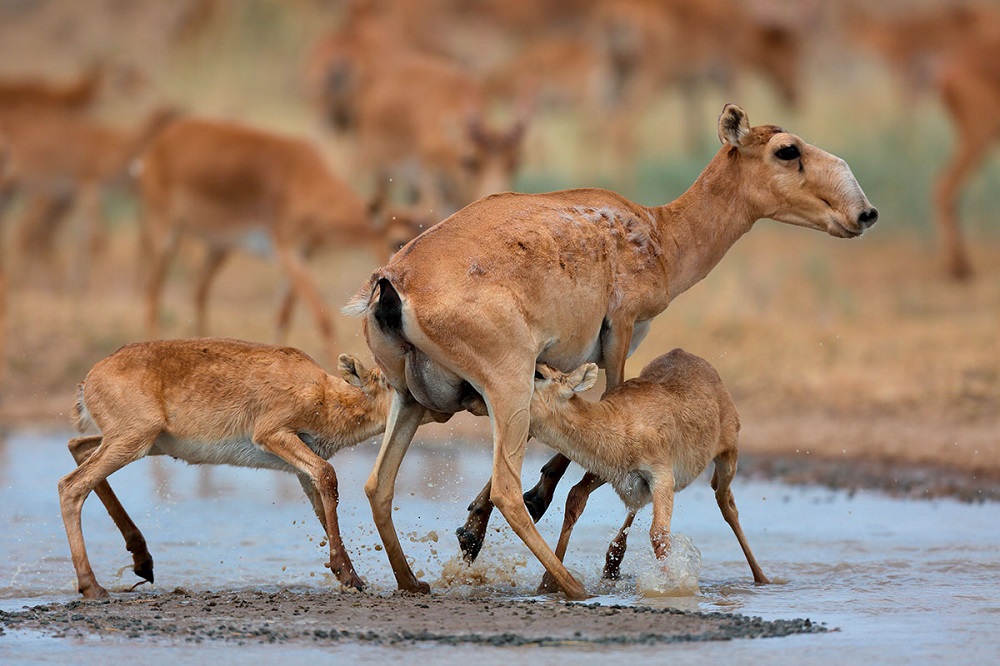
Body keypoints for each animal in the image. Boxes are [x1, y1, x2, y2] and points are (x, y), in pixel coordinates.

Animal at [137, 116, 422, 360]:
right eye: (397, 240)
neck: (302, 176)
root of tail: (160, 143)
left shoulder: (303, 254)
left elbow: (282, 317)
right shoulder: (288, 252)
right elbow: (323, 318)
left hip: (218, 247)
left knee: (198, 289)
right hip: (166, 232)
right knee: (152, 291)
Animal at [528, 348, 768, 592]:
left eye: (539, 373)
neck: (621, 421)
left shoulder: (663, 477)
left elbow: (659, 534)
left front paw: (669, 587)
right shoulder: (603, 470)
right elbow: (575, 498)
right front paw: (546, 584)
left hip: (729, 454)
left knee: (726, 502)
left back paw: (762, 577)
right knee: (636, 504)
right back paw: (612, 564)